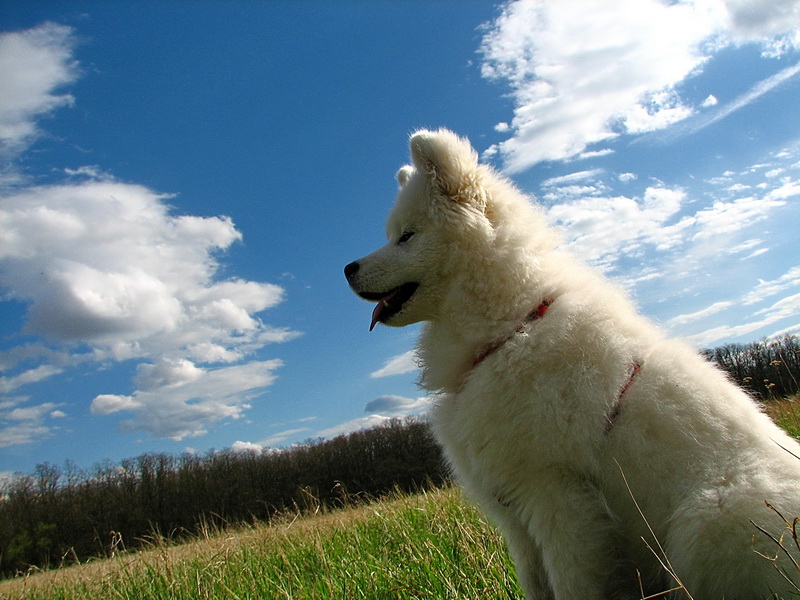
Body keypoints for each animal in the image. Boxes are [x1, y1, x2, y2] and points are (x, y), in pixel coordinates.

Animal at [346, 129, 800, 596]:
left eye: (407, 236)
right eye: (392, 235)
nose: (347, 268)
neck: (511, 329)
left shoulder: (557, 496)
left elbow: (571, 583)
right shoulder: (515, 516)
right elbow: (535, 583)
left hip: (710, 519)